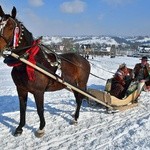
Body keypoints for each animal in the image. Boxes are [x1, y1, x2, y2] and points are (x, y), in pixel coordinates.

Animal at [0, 5, 90, 137]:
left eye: (11, 26)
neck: (27, 61)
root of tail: (84, 60)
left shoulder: (38, 91)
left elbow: (40, 109)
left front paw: (41, 128)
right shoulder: (21, 89)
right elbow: (22, 108)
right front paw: (20, 128)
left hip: (81, 84)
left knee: (79, 99)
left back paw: (75, 118)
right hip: (73, 84)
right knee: (78, 99)